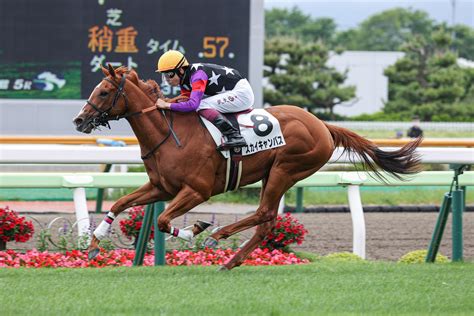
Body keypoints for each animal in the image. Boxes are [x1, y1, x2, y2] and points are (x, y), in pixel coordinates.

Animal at [72, 65, 420, 270]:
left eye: (104, 91)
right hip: (274, 174)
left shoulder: (196, 190)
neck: (169, 134)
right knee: (267, 222)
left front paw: (196, 229)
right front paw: (93, 245)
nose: (79, 120)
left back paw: (218, 236)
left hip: (285, 169)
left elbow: (163, 220)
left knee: (264, 214)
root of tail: (323, 125)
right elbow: (120, 203)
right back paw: (231, 261)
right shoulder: (161, 186)